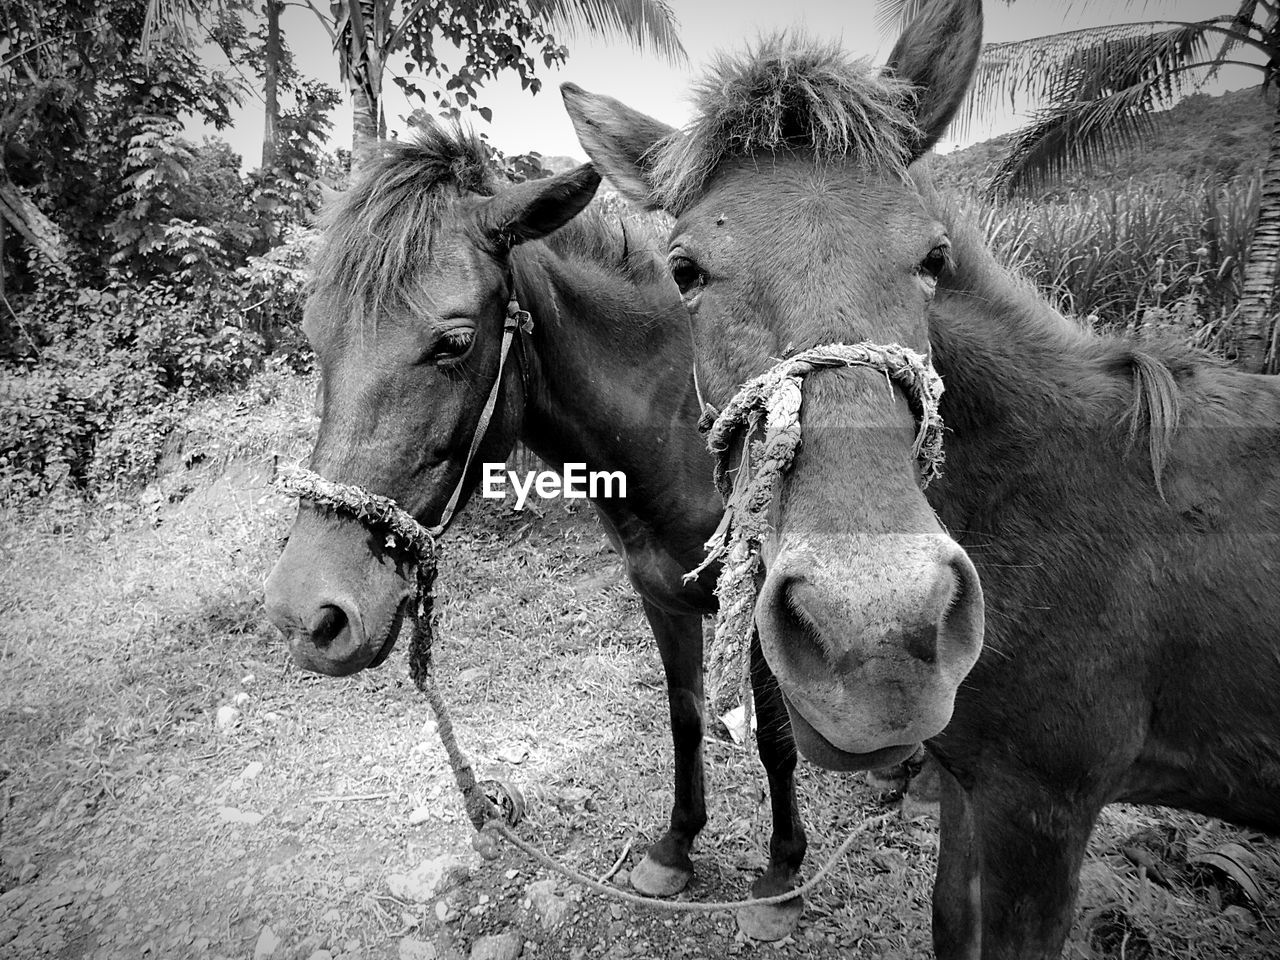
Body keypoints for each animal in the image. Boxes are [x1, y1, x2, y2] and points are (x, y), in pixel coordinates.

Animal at [262, 128, 808, 942]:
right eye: (314, 336)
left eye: (454, 343)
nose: (308, 613)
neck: (681, 432)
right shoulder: (664, 599)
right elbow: (682, 715)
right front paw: (675, 847)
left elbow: (775, 741)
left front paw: (779, 881)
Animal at [558, 1, 1280, 960]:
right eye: (684, 271)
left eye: (934, 256)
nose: (876, 642)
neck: (1050, 497)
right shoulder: (977, 791)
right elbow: (947, 922)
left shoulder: (1041, 811)